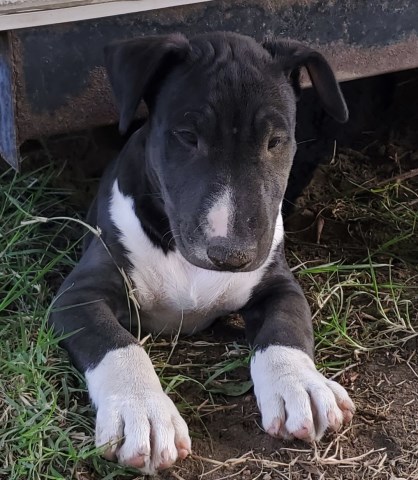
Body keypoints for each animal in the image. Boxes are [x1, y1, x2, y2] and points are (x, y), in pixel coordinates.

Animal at [49, 31, 356, 474]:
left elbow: (286, 328)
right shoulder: (79, 295)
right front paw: (143, 412)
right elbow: (117, 343)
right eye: (187, 136)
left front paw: (301, 384)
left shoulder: (278, 283)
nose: (231, 253)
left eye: (275, 141)